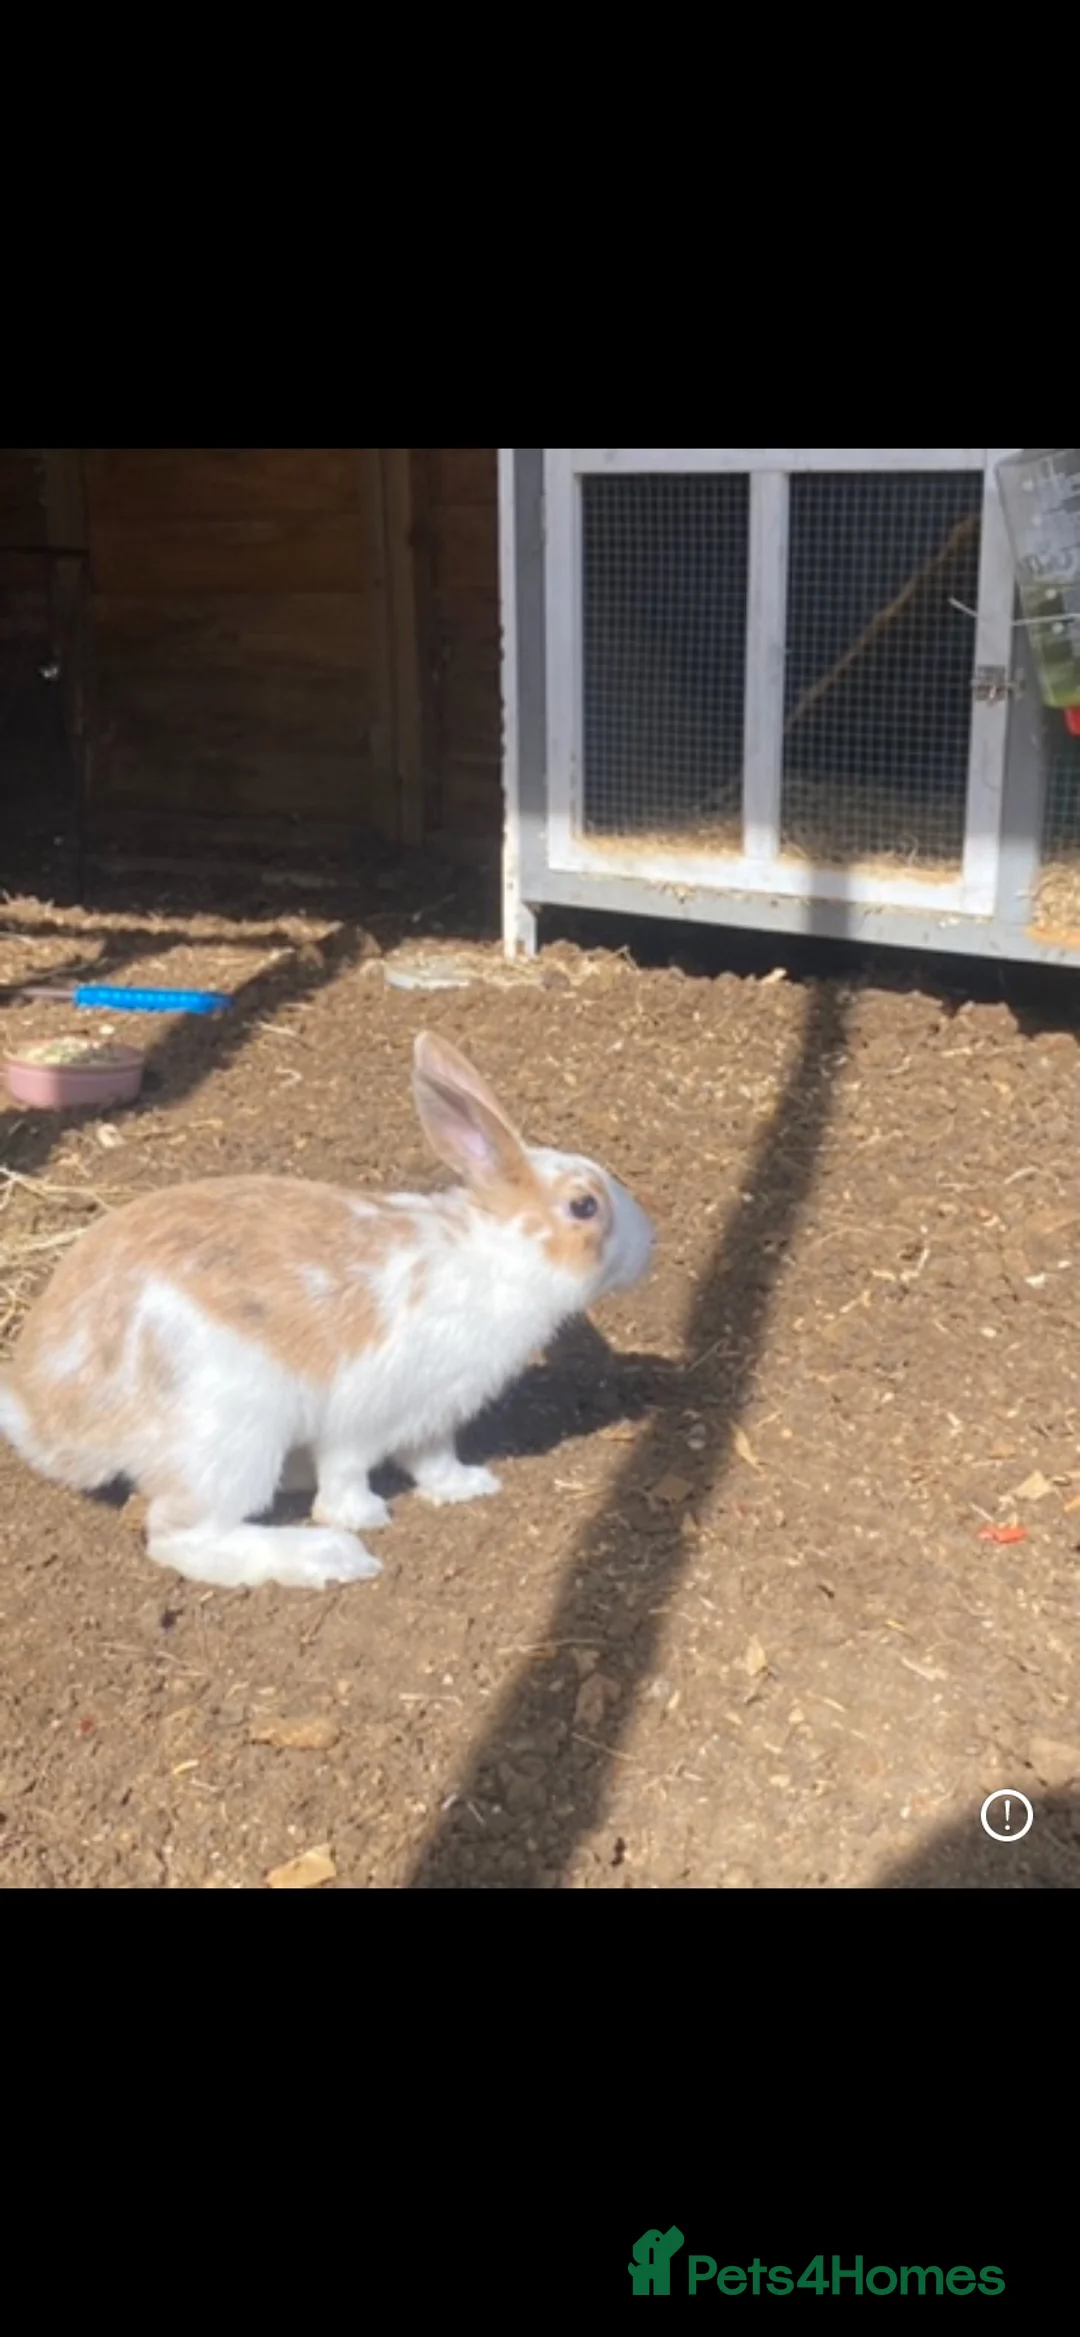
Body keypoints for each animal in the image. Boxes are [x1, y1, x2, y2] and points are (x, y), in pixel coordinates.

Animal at [0, 1031, 654, 1591]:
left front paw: (468, 1486)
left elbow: (432, 1461)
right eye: (584, 1206)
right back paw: (329, 1557)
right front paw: (362, 1517)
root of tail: (46, 1413)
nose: (650, 1241)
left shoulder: (432, 1419)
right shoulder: (364, 1414)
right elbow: (345, 1474)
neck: (497, 1256)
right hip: (231, 1430)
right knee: (182, 1537)